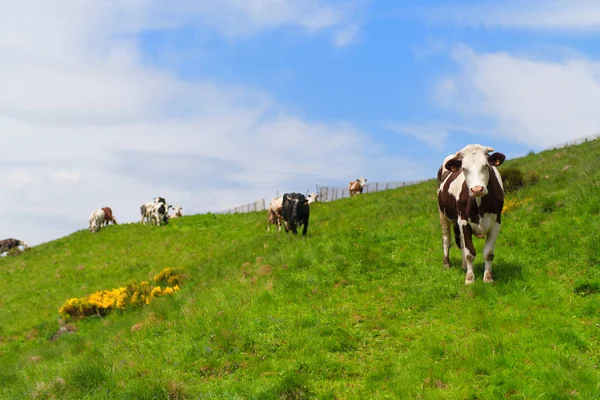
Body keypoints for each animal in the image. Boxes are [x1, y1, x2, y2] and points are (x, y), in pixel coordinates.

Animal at [436, 144, 506, 284]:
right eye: (464, 169)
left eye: (486, 166)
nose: (477, 189)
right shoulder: (463, 221)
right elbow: (470, 253)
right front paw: (469, 279)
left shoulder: (496, 222)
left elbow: (488, 253)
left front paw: (488, 278)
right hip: (443, 215)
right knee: (446, 238)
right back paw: (446, 263)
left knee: (461, 243)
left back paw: (463, 266)